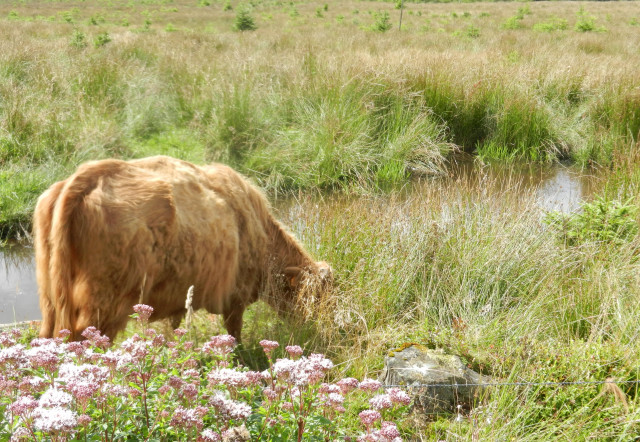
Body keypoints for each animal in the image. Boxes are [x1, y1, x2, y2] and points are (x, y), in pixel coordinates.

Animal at [33, 156, 332, 342]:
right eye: (315, 298)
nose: (319, 328)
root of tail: (88, 175)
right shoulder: (234, 297)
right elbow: (234, 334)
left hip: (50, 298)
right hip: (101, 303)